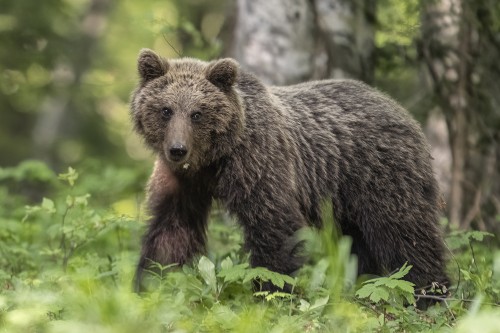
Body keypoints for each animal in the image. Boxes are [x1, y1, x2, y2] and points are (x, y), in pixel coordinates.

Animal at [132, 48, 450, 296]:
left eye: (197, 113)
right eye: (166, 110)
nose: (177, 149)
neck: (212, 160)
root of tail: (401, 110)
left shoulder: (259, 163)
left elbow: (273, 225)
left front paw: (272, 290)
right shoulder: (183, 181)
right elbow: (171, 230)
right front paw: (151, 283)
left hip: (383, 176)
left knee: (406, 233)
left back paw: (430, 292)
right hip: (345, 200)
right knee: (358, 243)